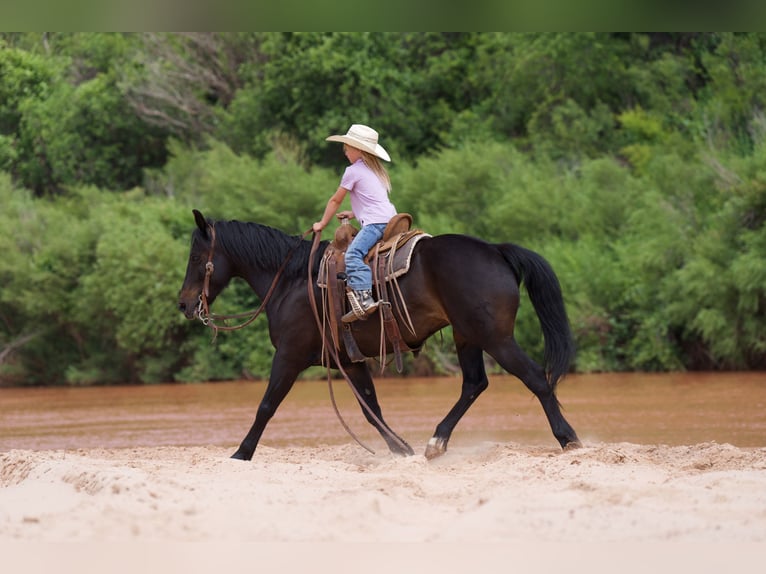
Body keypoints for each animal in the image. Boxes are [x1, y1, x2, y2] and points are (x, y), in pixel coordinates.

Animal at [177, 209, 580, 462]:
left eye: (196, 258)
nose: (183, 303)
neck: (291, 281)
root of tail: (496, 251)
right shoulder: (351, 361)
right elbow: (372, 410)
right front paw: (401, 450)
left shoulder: (288, 356)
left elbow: (266, 406)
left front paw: (241, 452)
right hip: (467, 336)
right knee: (474, 384)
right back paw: (436, 442)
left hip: (495, 338)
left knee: (535, 378)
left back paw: (568, 438)